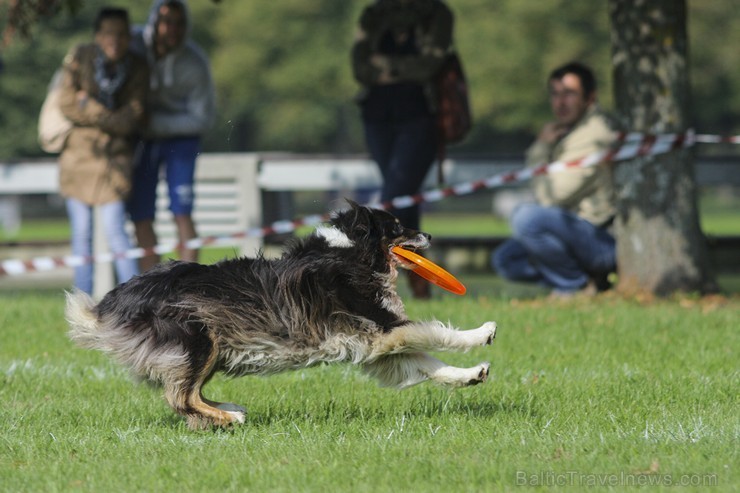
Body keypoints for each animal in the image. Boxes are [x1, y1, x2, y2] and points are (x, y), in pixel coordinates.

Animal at [68, 202, 498, 428]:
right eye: (396, 226)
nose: (430, 235)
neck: (351, 253)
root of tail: (109, 304)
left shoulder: (376, 348)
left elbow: (429, 365)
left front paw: (471, 375)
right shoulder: (378, 330)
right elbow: (434, 333)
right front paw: (483, 333)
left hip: (208, 347)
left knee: (188, 392)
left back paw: (226, 410)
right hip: (197, 338)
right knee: (180, 396)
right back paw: (230, 418)